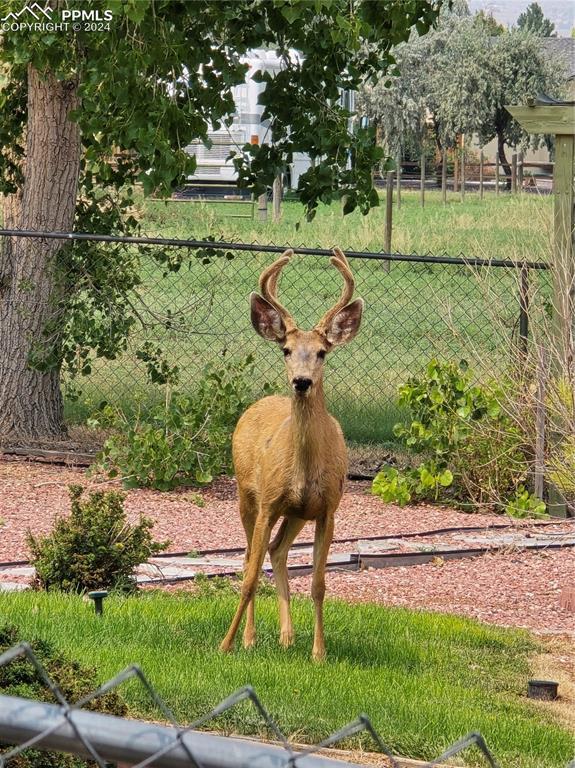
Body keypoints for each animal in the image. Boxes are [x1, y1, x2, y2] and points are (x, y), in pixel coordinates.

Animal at [220, 248, 364, 660]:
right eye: (286, 350)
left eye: (321, 353)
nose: (301, 381)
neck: (304, 467)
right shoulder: (269, 502)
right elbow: (250, 576)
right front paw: (227, 643)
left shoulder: (327, 508)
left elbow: (318, 584)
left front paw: (319, 652)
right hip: (246, 495)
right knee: (249, 557)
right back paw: (251, 638)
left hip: (297, 512)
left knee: (277, 550)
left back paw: (287, 636)